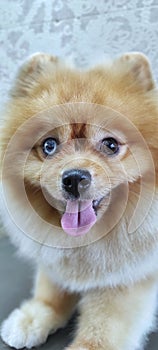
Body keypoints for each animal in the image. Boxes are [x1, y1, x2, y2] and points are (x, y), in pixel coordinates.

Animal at [0, 52, 158, 350]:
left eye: (110, 145)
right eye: (49, 145)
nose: (73, 178)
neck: (89, 239)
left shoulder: (128, 279)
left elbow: (102, 328)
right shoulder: (56, 260)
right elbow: (51, 290)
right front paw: (34, 316)